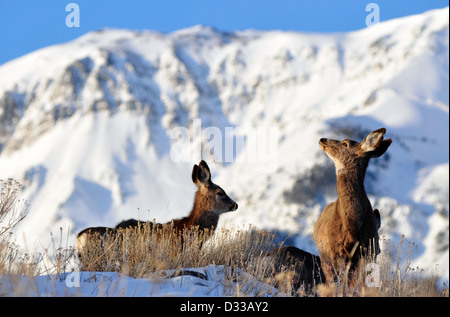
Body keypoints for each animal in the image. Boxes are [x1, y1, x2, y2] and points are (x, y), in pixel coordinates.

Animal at [312, 127, 390, 282]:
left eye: (345, 144)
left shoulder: (368, 251)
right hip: (325, 258)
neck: (352, 225)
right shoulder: (337, 251)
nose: (323, 139)